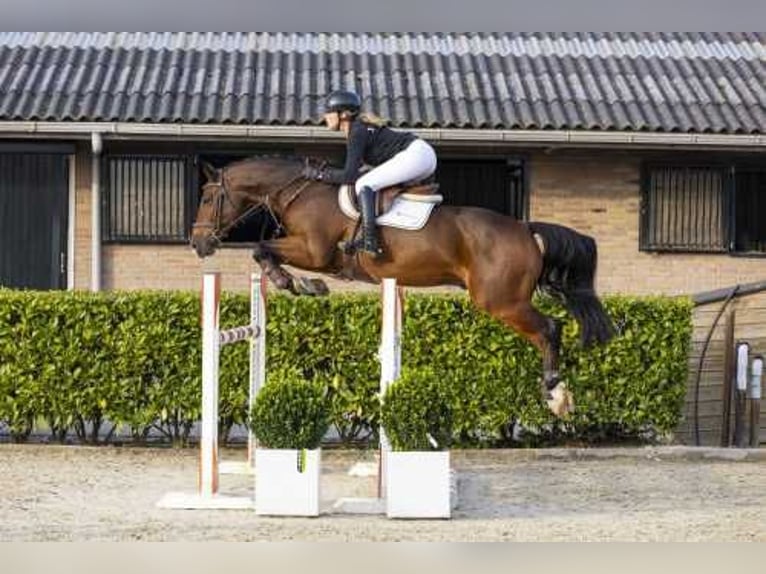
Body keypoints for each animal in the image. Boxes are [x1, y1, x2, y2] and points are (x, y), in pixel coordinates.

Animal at [192, 156, 616, 418]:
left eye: (209, 197)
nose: (198, 244)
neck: (301, 192)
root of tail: (526, 230)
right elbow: (264, 251)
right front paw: (302, 285)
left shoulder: (315, 251)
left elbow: (262, 249)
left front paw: (298, 283)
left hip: (501, 301)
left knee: (550, 328)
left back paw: (555, 394)